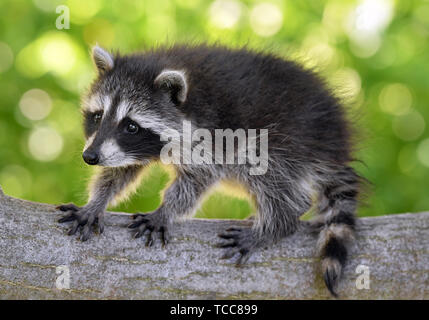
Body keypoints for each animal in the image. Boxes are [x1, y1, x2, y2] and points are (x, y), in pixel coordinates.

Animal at [58, 43, 362, 296]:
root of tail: (337, 139)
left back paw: (278, 221)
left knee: (269, 174)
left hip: (288, 138)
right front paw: (96, 202)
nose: (90, 157)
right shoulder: (128, 148)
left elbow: (198, 179)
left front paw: (166, 211)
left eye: (131, 125)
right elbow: (121, 170)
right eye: (98, 116)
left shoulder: (213, 134)